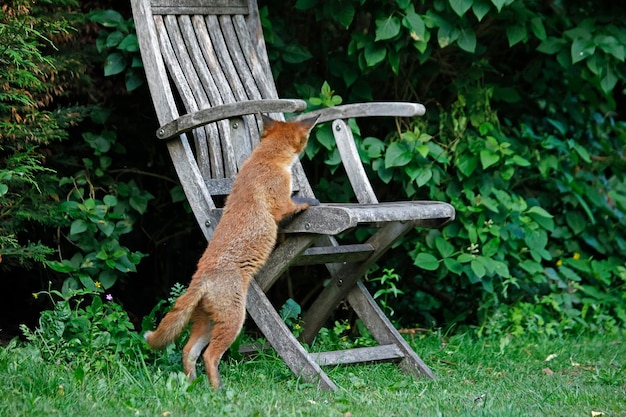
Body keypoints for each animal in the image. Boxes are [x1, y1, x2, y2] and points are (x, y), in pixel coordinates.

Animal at [143, 114, 316, 390]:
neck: (265, 159)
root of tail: (201, 276)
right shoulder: (281, 204)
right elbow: (296, 205)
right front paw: (311, 202)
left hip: (207, 323)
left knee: (188, 351)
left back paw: (193, 386)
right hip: (234, 321)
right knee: (209, 356)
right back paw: (218, 391)